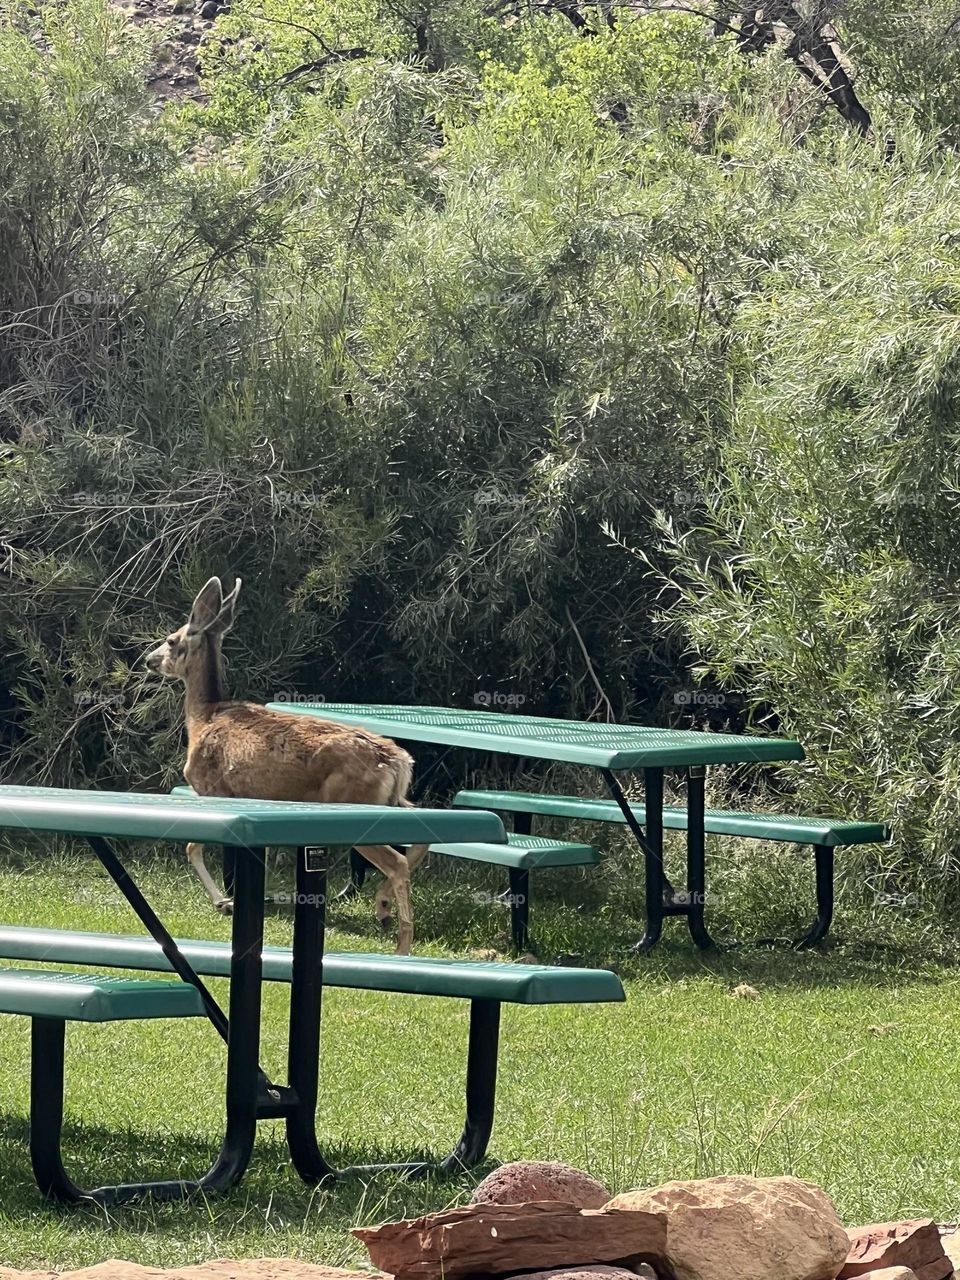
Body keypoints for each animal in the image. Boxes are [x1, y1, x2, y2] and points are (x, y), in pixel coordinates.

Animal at [144, 575, 429, 954]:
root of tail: (399, 761)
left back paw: (400, 943)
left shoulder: (213, 790)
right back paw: (383, 910)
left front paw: (223, 902)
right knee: (421, 838)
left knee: (396, 862)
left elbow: (192, 847)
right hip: (392, 802)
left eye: (171, 640)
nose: (149, 660)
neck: (203, 718)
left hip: (357, 805)